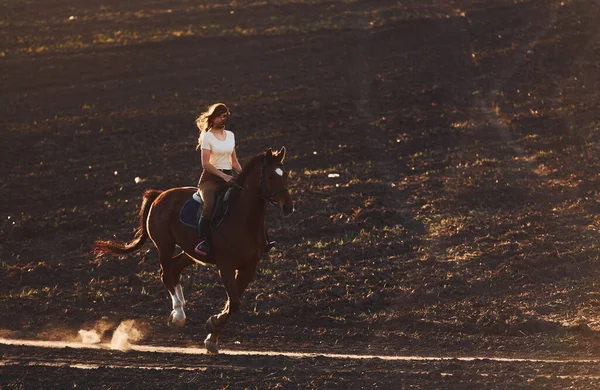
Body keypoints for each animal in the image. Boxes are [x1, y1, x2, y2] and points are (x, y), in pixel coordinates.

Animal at [92, 146, 296, 354]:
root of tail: (160, 195)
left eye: (285, 174)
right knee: (166, 273)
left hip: (191, 251)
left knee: (174, 268)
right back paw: (178, 315)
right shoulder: (226, 265)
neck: (244, 218)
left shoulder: (248, 267)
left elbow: (233, 303)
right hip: (165, 244)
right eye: (271, 176)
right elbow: (234, 302)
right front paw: (212, 324)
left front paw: (212, 338)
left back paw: (180, 308)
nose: (288, 207)